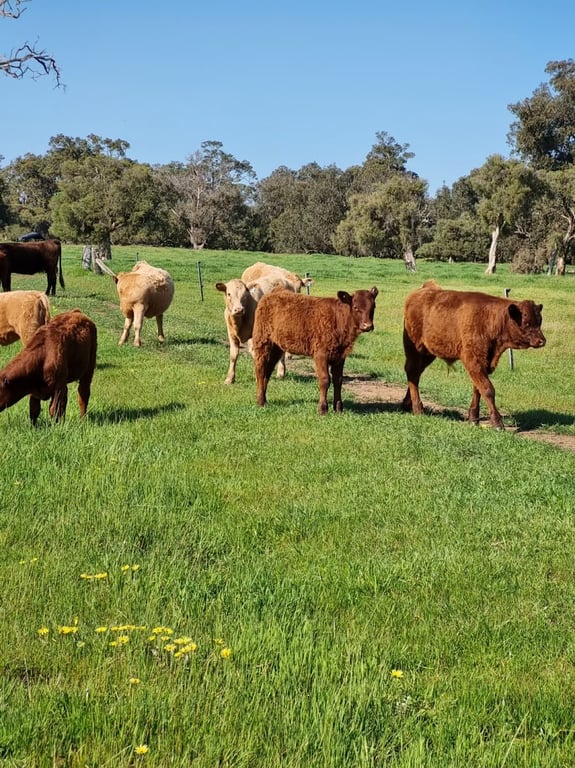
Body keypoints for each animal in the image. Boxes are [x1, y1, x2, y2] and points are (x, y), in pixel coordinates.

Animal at [252, 286, 378, 414]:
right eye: (355, 307)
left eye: (373, 306)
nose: (368, 325)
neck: (338, 320)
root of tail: (275, 291)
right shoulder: (321, 354)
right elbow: (325, 379)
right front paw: (322, 408)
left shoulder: (340, 357)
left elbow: (338, 380)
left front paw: (338, 408)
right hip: (262, 342)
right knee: (260, 370)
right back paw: (260, 401)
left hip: (276, 348)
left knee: (267, 372)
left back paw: (264, 399)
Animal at [402, 280, 546, 428]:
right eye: (526, 322)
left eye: (540, 321)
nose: (541, 341)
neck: (492, 319)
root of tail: (425, 289)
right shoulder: (473, 360)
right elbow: (488, 389)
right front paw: (497, 423)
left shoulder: (484, 363)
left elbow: (478, 389)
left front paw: (473, 418)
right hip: (415, 350)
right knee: (412, 372)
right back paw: (418, 409)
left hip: (428, 354)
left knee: (416, 374)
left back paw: (407, 404)